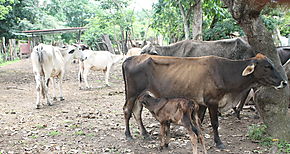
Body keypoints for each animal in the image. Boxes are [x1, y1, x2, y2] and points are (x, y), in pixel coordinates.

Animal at [121, 53, 286, 149]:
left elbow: (199, 122)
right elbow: (215, 123)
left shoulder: (200, 103)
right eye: (267, 66)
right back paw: (128, 134)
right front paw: (219, 142)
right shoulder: (212, 101)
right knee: (127, 110)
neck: (224, 72)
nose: (284, 82)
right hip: (132, 93)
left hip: (140, 95)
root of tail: (131, 58)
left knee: (137, 112)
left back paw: (145, 133)